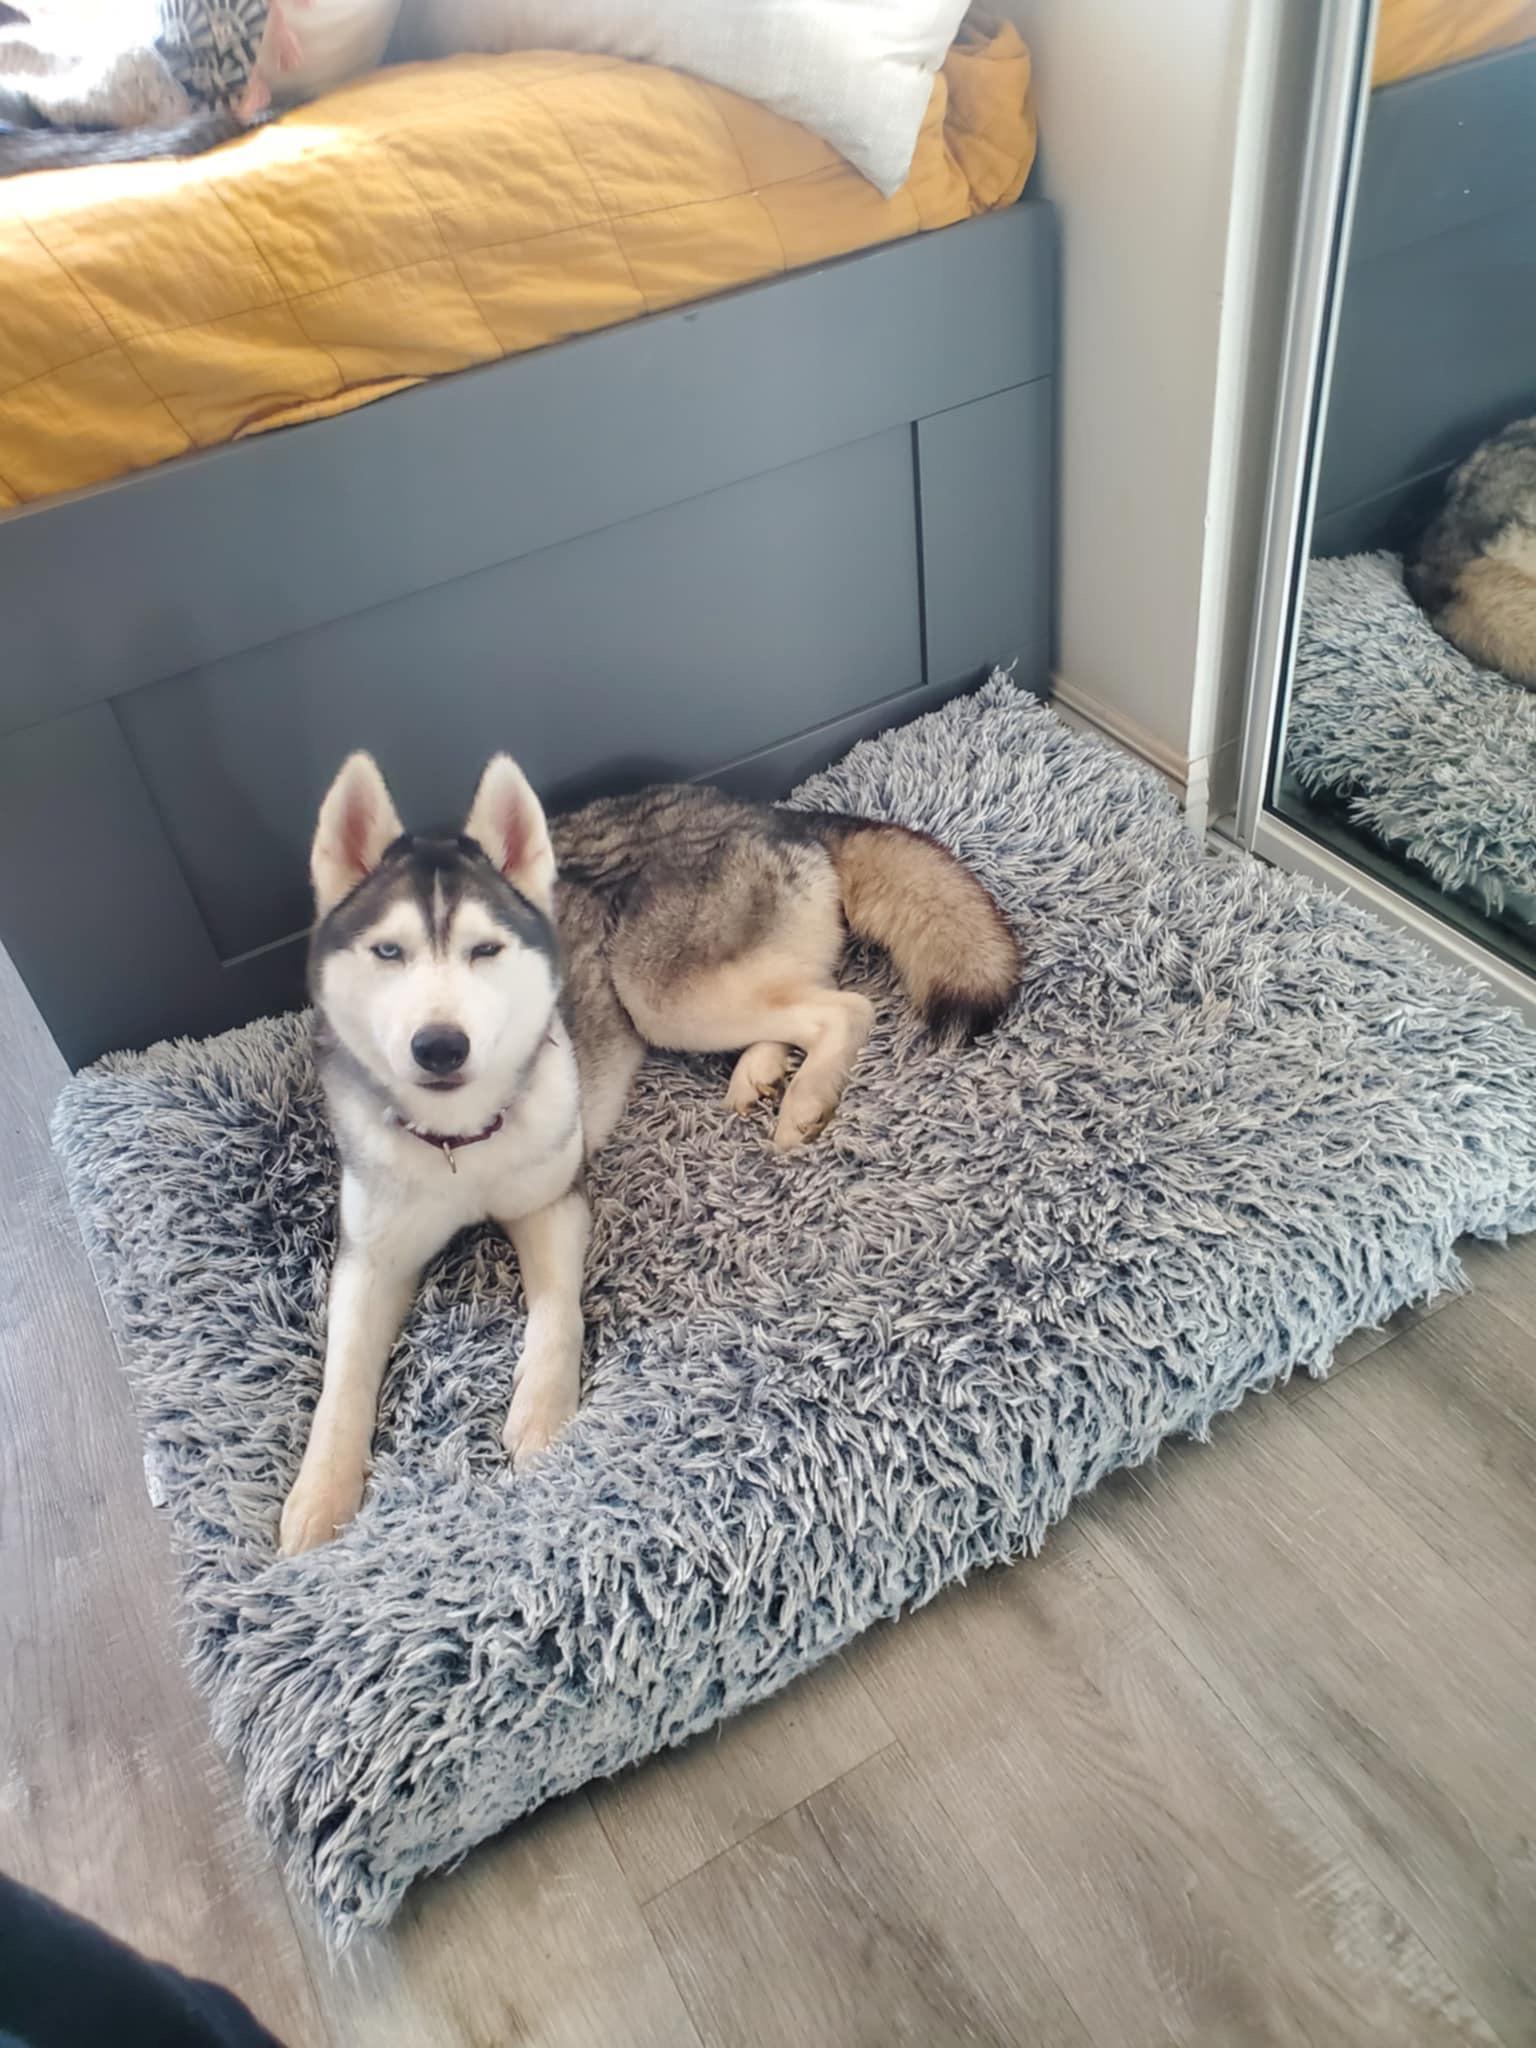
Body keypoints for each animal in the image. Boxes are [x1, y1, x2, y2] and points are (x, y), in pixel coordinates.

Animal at [279, 751, 1021, 1555]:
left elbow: (556, 1314)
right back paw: (761, 1072)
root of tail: (765, 811)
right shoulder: (371, 1259)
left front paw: (542, 1412)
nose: (440, 1046)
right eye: (389, 952)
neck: (460, 1139)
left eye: (486, 950)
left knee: (843, 1007)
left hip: (660, 994)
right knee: (810, 994)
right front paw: (320, 1495)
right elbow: (342, 1382)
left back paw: (804, 1096)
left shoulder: (555, 1205)